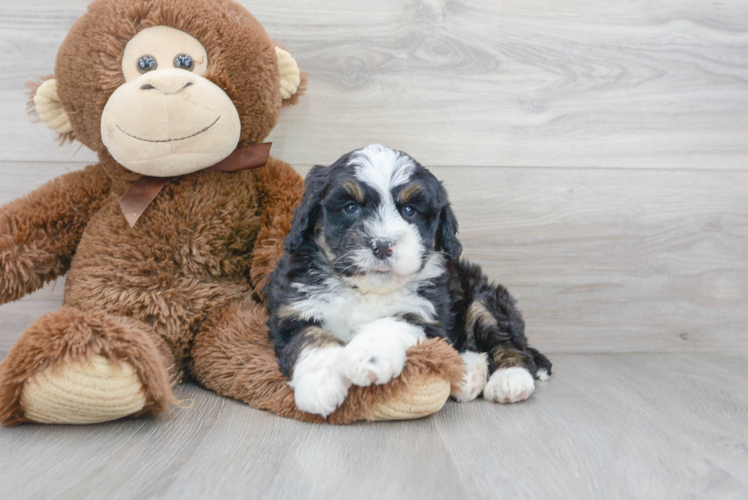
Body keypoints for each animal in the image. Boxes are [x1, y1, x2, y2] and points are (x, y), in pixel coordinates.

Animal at [266, 146, 552, 418]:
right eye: (351, 207)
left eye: (409, 210)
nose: (382, 245)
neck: (366, 289)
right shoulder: (292, 310)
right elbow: (311, 337)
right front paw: (322, 383)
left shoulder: (426, 313)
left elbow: (390, 322)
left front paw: (368, 357)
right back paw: (470, 373)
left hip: (484, 300)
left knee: (509, 343)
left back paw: (510, 380)